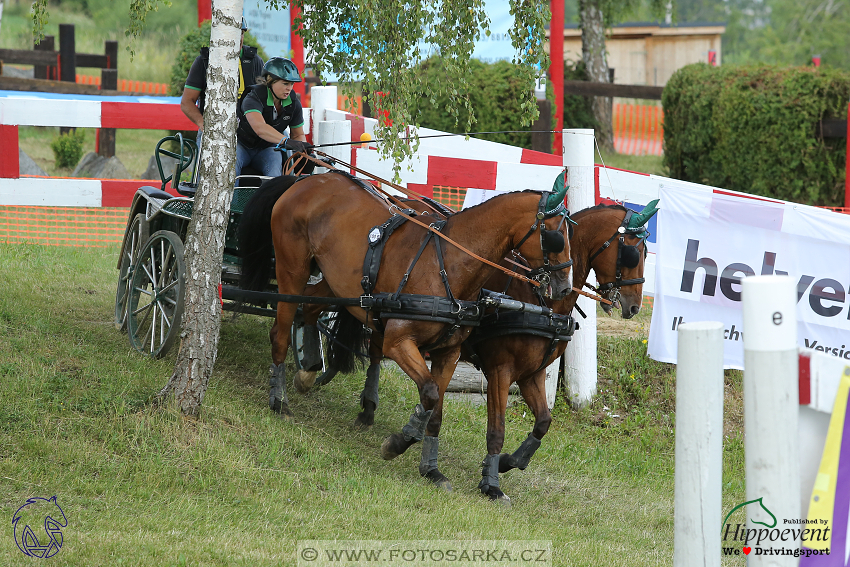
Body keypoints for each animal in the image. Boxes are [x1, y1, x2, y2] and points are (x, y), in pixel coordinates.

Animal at [235, 171, 572, 490]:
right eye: (555, 235)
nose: (564, 287)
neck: (449, 264)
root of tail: (305, 181)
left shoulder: (449, 353)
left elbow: (436, 412)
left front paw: (431, 469)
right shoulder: (399, 343)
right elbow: (430, 394)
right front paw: (398, 443)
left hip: (337, 283)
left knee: (309, 308)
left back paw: (308, 370)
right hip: (292, 269)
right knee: (280, 331)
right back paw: (279, 400)